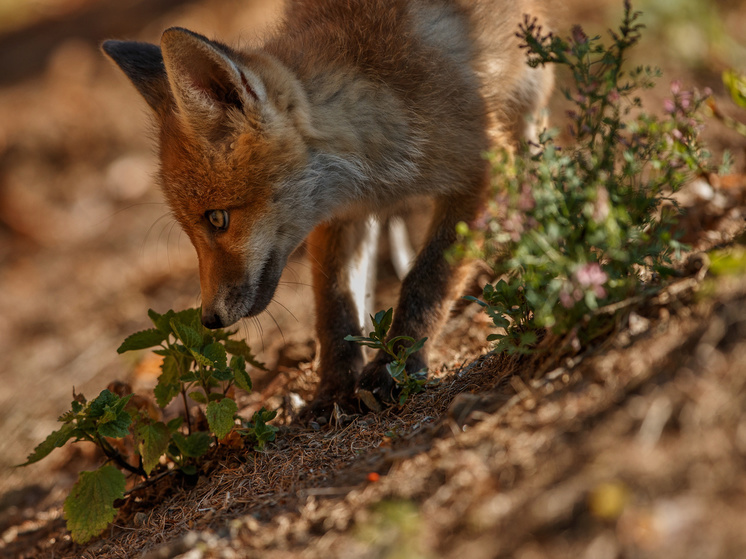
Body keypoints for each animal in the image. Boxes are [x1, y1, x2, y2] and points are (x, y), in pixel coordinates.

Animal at [101, 0, 548, 420]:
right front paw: (334, 390)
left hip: (529, 95)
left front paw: (397, 365)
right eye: (193, 230)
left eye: (217, 218)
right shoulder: (338, 213)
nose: (208, 319)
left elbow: (427, 280)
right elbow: (335, 306)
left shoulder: (483, 167)